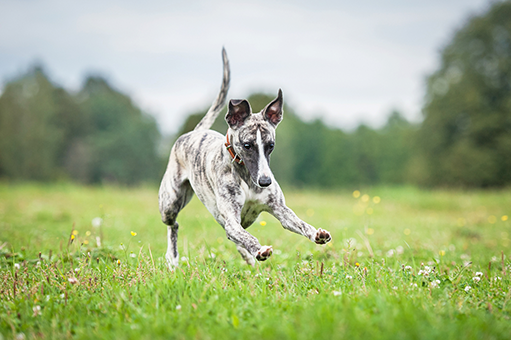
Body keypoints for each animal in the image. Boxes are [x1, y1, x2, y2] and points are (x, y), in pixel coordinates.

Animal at [159, 48, 332, 266]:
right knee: (173, 225)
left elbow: (298, 223)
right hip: (170, 203)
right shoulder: (232, 219)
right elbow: (245, 236)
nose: (265, 181)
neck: (247, 178)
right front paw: (259, 249)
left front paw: (317, 233)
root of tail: (195, 132)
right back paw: (173, 258)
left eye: (271, 145)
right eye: (247, 145)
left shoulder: (280, 209)